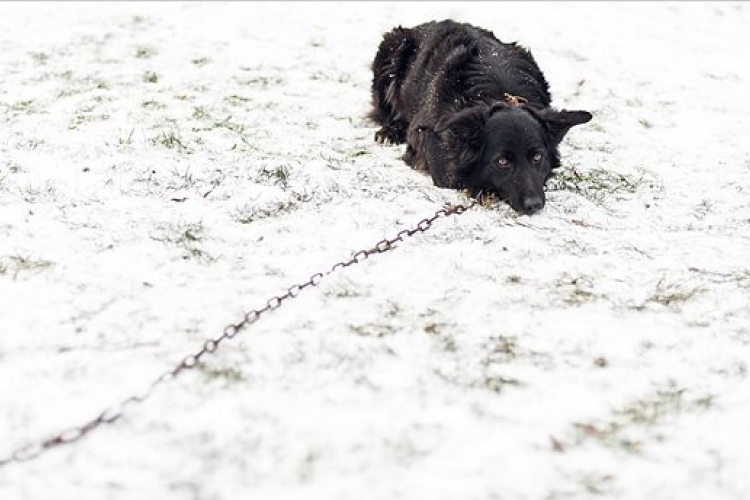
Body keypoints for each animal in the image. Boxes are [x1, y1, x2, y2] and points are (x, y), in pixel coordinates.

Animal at [370, 19, 592, 214]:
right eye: (502, 162)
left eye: (538, 157)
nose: (534, 205)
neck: (498, 95)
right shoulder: (426, 136)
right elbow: (452, 175)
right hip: (391, 51)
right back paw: (389, 131)